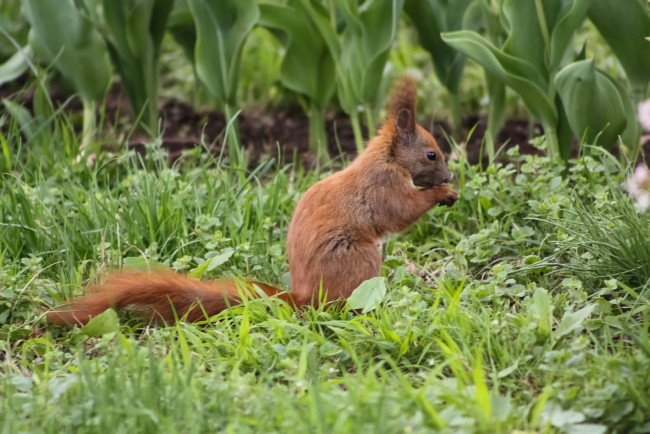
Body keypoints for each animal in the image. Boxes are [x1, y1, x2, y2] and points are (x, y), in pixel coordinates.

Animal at [45, 76, 456, 324]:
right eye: (431, 154)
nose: (449, 177)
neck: (387, 159)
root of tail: (303, 296)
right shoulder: (383, 186)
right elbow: (401, 211)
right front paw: (442, 194)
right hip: (360, 259)